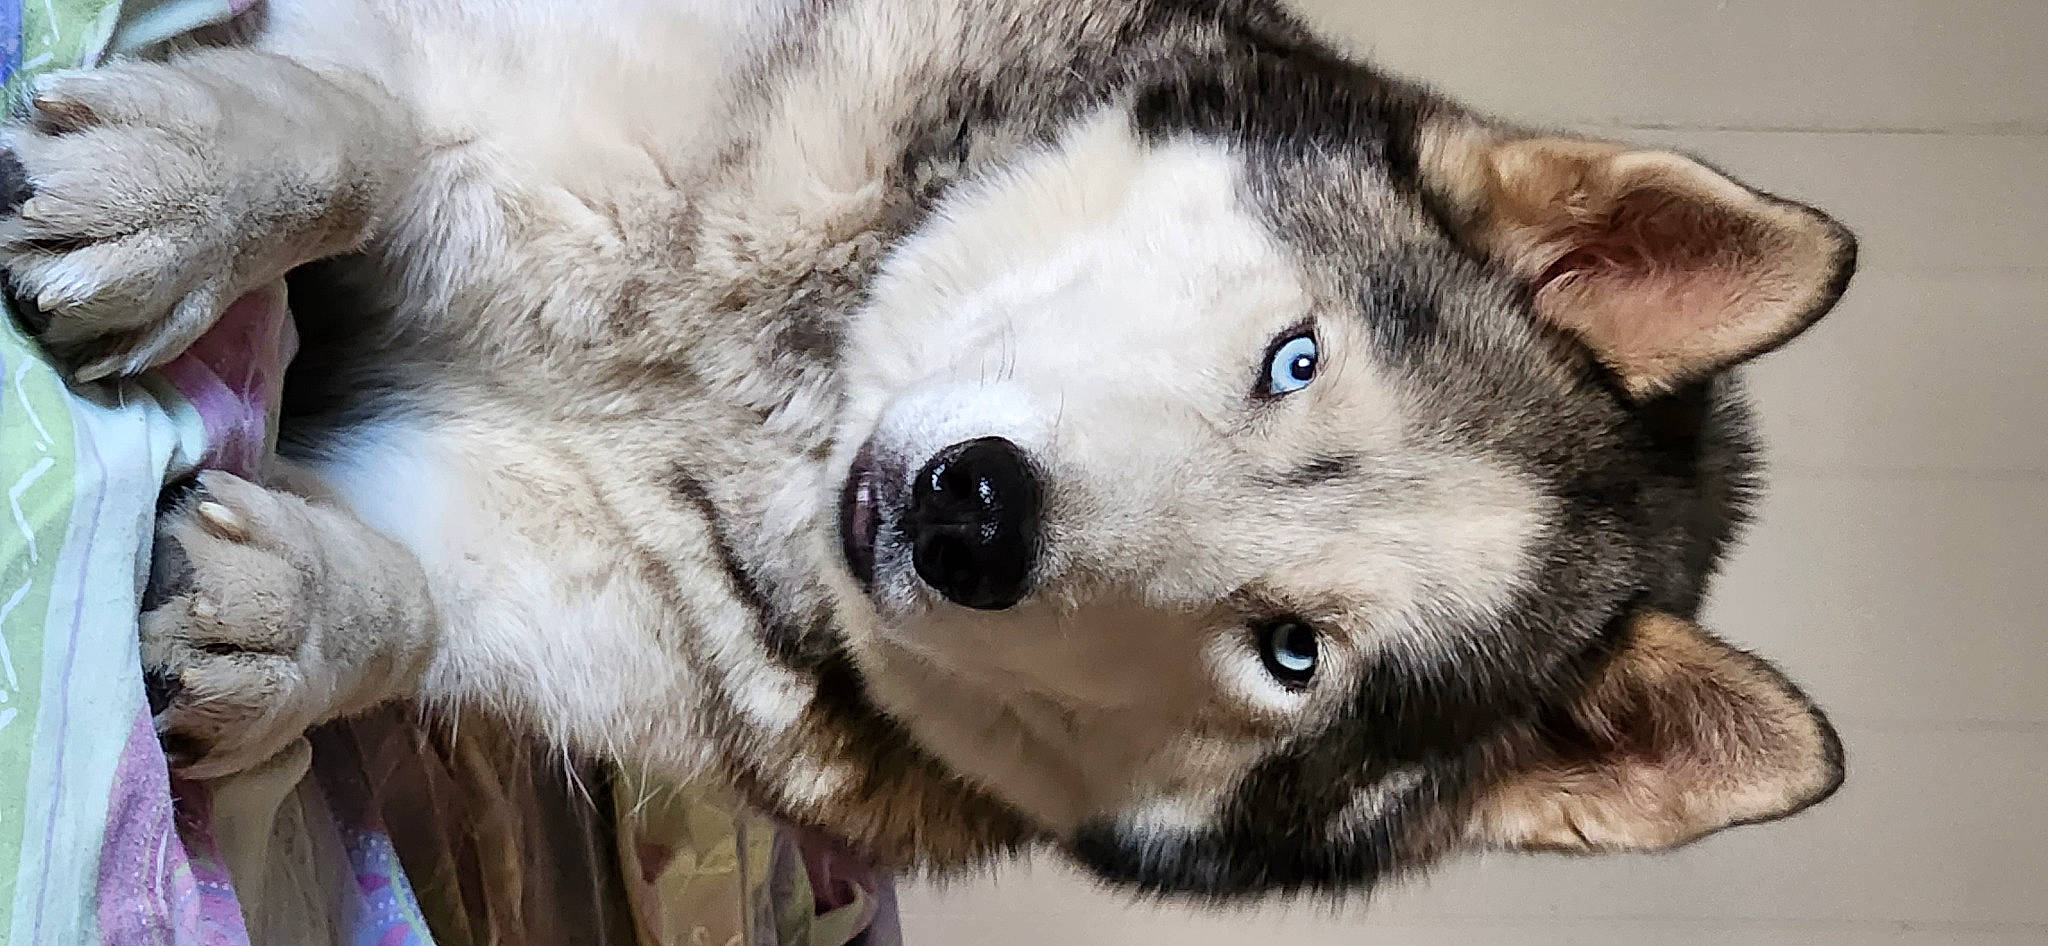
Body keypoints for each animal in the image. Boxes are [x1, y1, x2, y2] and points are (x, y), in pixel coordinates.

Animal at [0, 0, 1851, 896]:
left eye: (1289, 652)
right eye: (1294, 357)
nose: (975, 520)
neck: (771, 385)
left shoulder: (599, 601)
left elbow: (421, 607)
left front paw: (302, 617)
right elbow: (364, 128)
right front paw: (189, 190)